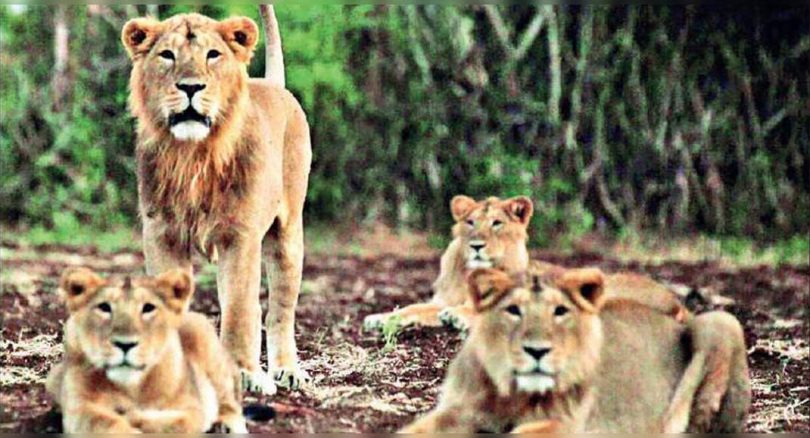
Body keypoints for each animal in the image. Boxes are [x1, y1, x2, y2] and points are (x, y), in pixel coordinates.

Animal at [46, 267, 247, 433]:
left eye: (148, 308)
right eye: (104, 307)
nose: (125, 344)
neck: (131, 387)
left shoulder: (192, 408)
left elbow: (177, 424)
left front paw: (135, 416)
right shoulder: (79, 408)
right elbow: (103, 424)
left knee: (231, 404)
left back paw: (225, 426)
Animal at [121, 6, 311, 394]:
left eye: (213, 54)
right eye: (167, 55)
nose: (191, 86)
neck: (193, 155)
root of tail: (275, 85)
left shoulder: (240, 236)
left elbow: (241, 310)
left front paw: (245, 375)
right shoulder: (162, 234)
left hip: (287, 234)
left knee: (279, 309)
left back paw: (287, 370)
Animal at [363, 195, 686, 332]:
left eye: (496, 223)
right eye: (470, 222)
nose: (476, 245)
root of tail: (677, 301)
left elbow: (468, 309)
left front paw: (456, 318)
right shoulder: (441, 299)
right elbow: (412, 308)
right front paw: (379, 318)